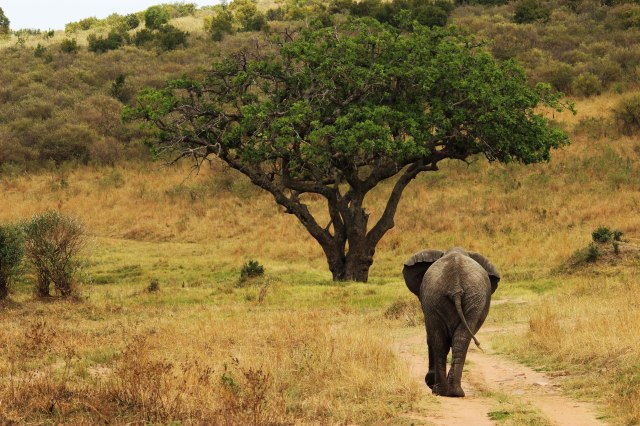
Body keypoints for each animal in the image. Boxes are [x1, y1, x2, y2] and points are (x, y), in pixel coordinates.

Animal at [402, 247, 500, 397]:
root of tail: (456, 287)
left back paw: (445, 391)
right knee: (452, 340)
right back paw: (449, 391)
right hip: (452, 298)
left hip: (450, 298)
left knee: (443, 340)